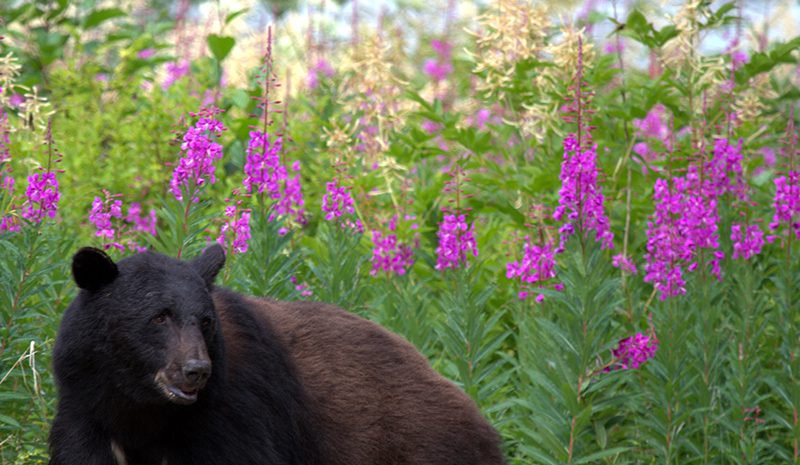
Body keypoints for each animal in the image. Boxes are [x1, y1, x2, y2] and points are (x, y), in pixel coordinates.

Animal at [50, 245, 504, 462]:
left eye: (205, 321)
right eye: (159, 316)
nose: (197, 369)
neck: (140, 411)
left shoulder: (234, 412)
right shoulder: (87, 413)